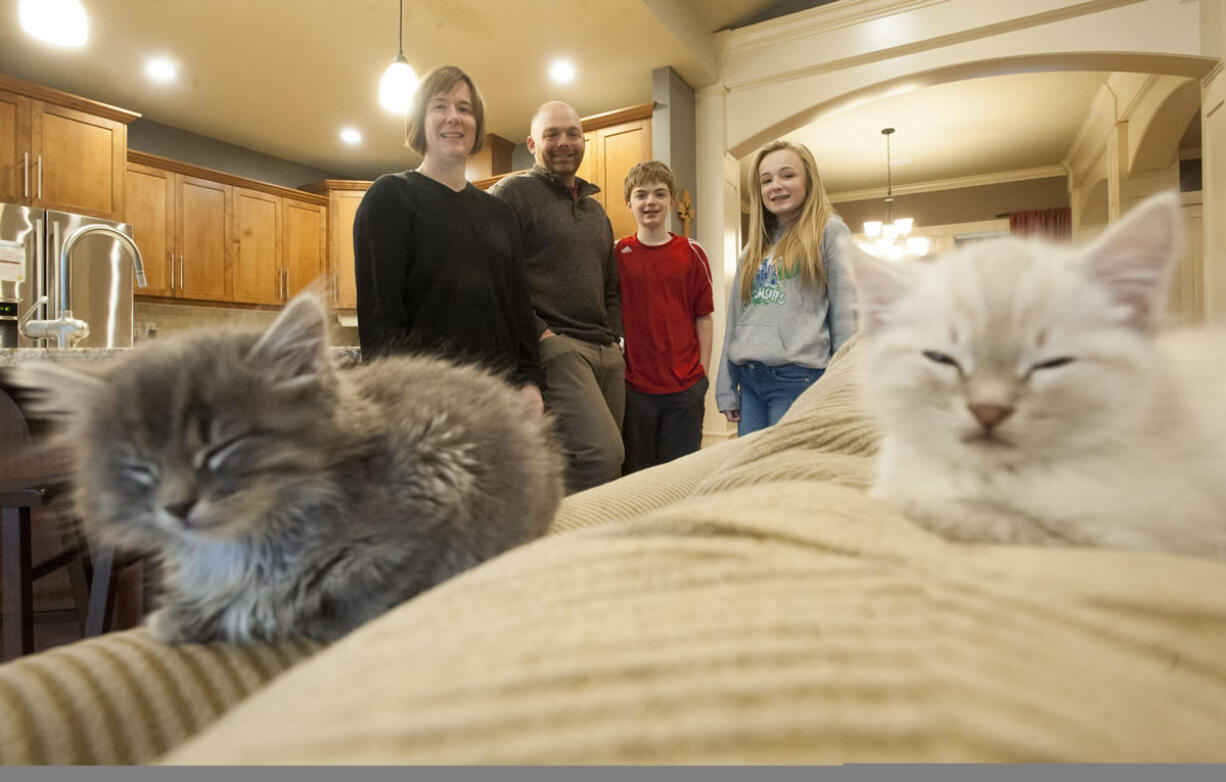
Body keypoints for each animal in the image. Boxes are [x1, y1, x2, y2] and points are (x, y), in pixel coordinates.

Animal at [11, 294, 566, 642]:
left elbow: (360, 590)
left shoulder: (440, 484)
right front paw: (182, 616)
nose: (178, 507)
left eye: (221, 448)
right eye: (140, 467)